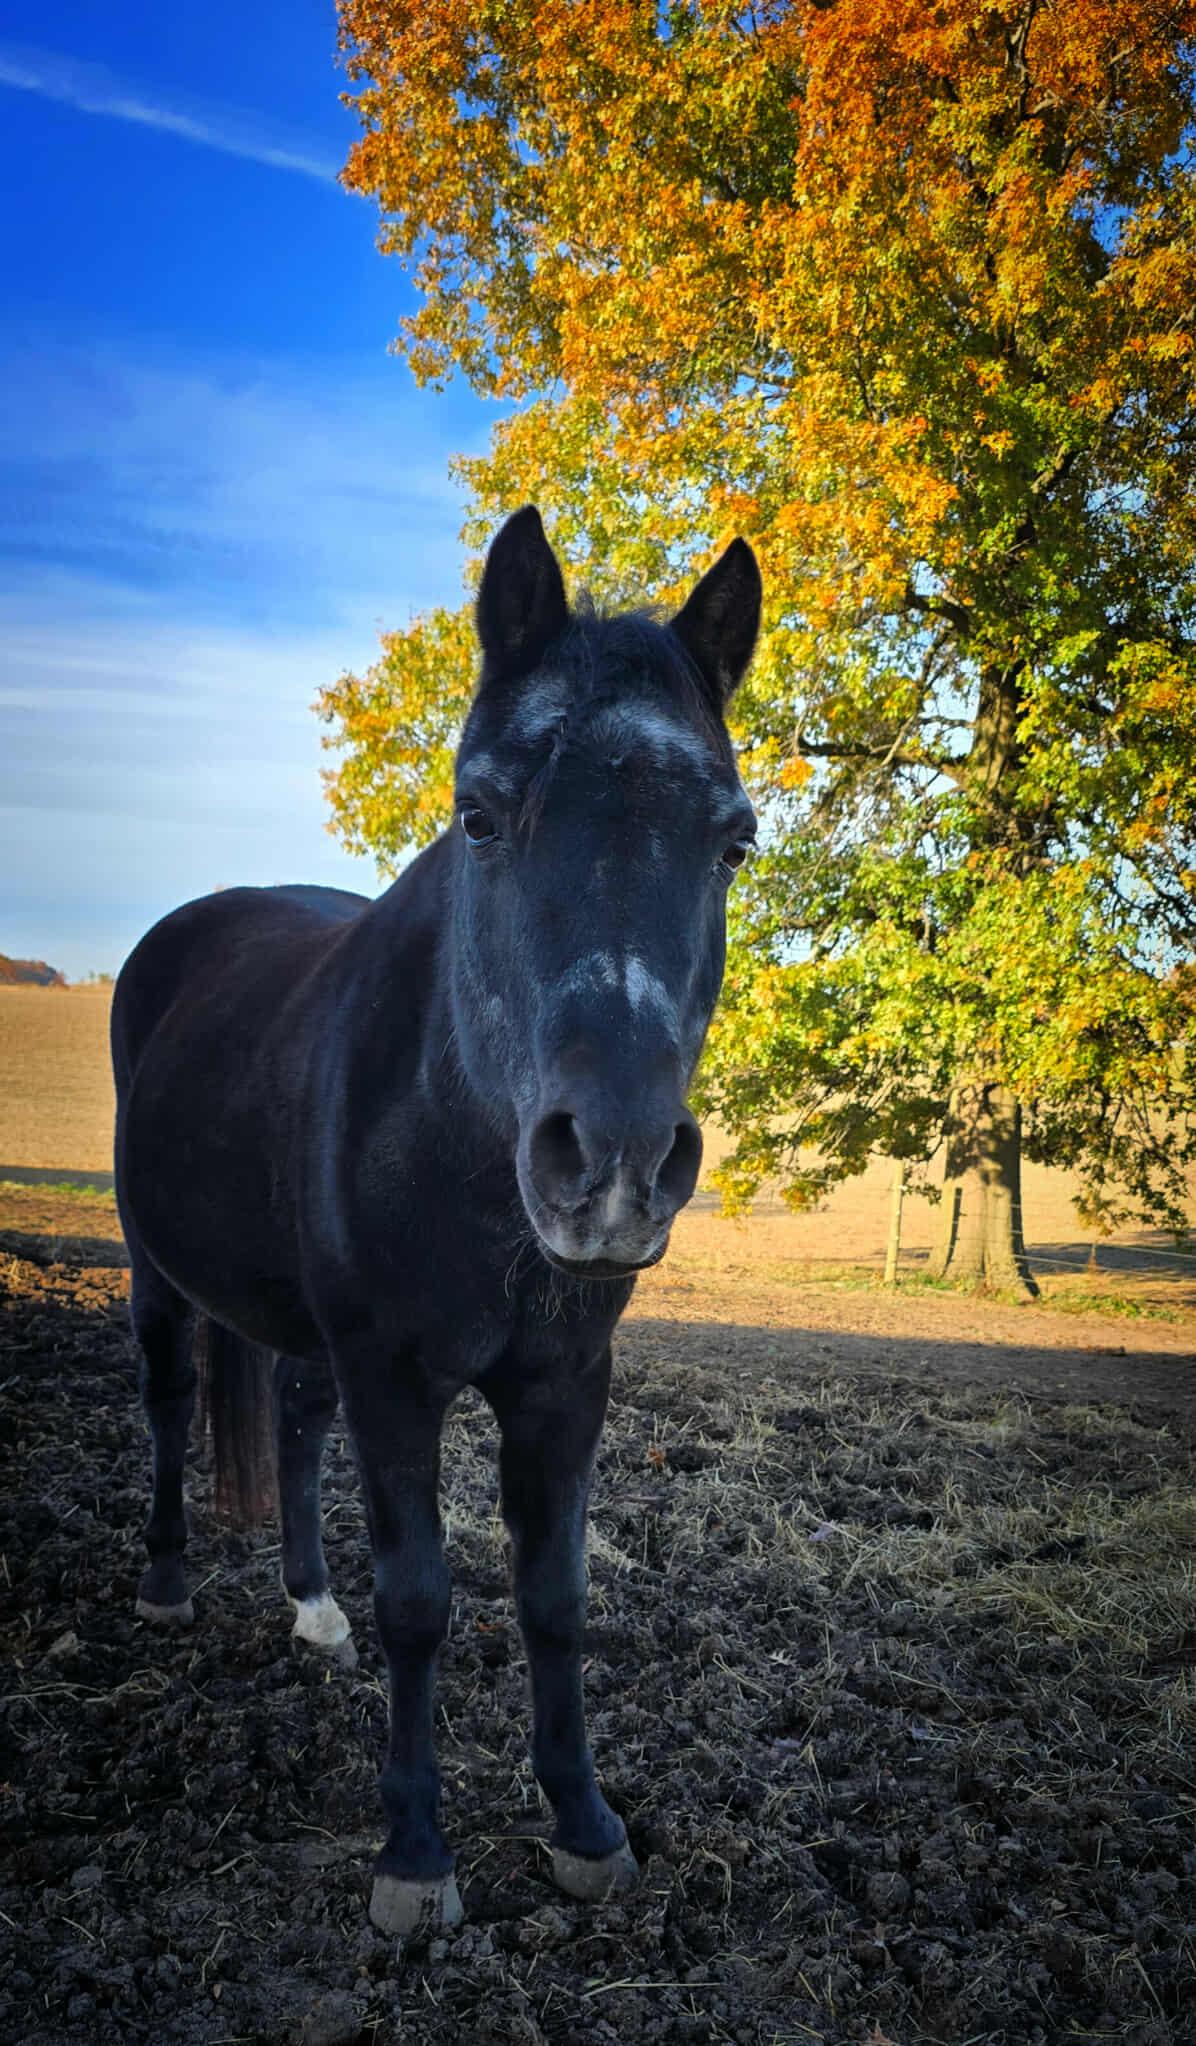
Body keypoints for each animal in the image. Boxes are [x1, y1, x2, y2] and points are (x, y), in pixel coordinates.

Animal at [111, 506, 761, 1941]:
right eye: (480, 815)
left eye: (733, 841)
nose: (615, 1160)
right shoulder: (395, 1377)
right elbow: (419, 1602)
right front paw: (414, 1852)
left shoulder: (564, 1383)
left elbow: (555, 1598)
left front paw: (584, 1825)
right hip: (155, 1272)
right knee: (175, 1400)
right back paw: (169, 1584)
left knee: (292, 1425)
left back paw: (308, 1607)